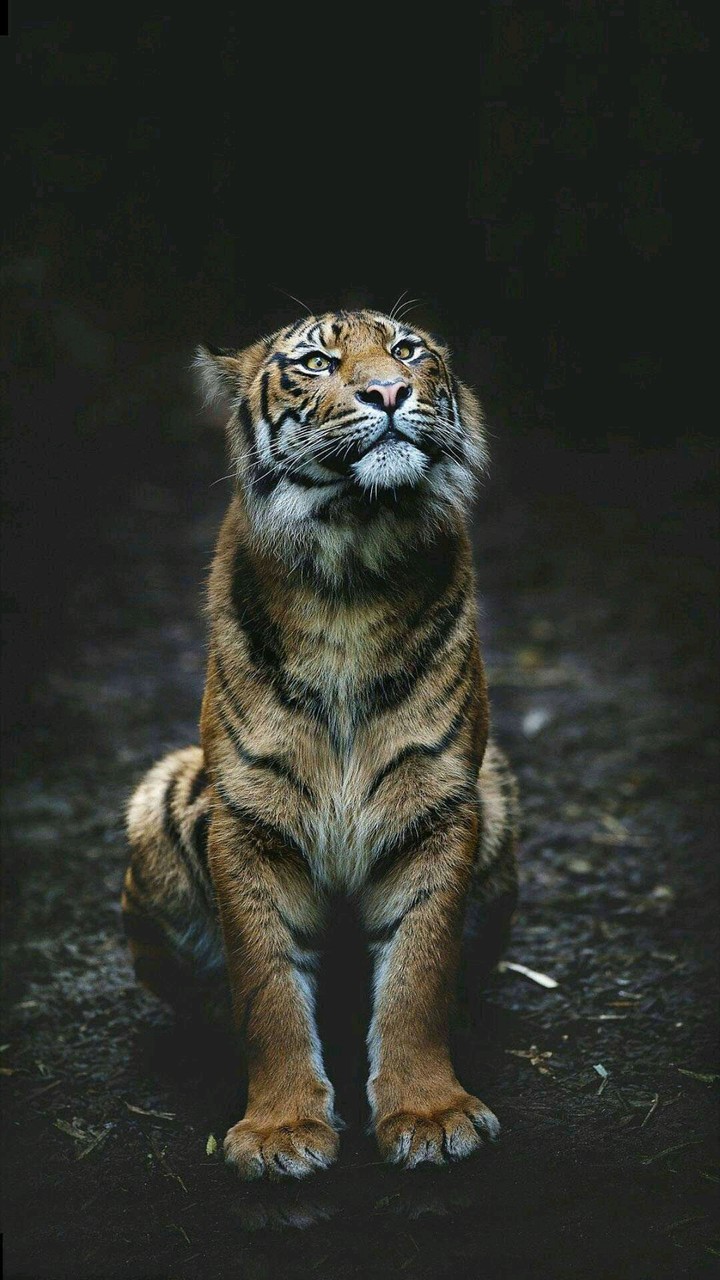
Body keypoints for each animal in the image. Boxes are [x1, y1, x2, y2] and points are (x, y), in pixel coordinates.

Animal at [122, 308, 519, 1180]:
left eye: (407, 350)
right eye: (315, 362)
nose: (391, 391)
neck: (352, 570)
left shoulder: (440, 804)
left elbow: (417, 975)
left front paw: (428, 1115)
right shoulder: (249, 817)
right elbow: (267, 986)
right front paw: (279, 1131)